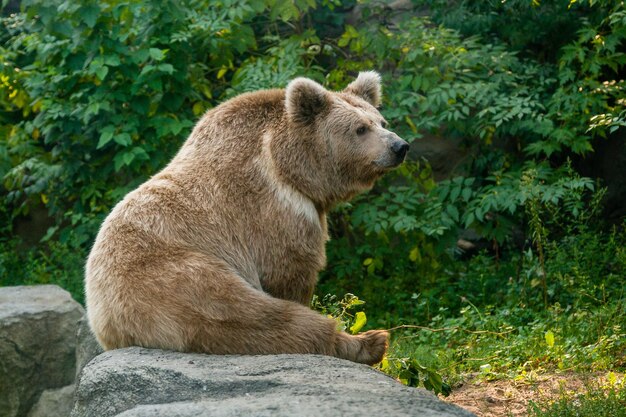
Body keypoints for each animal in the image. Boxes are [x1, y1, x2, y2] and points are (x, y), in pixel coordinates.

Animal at [85, 71, 408, 364]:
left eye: (381, 122)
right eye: (360, 128)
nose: (400, 147)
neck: (291, 171)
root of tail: (104, 319)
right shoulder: (272, 211)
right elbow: (289, 270)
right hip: (176, 280)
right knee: (259, 317)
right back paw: (370, 341)